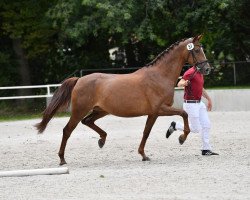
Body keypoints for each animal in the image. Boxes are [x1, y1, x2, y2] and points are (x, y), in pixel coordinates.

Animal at [35, 34, 211, 166]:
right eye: (196, 49)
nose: (207, 69)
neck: (159, 76)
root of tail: (79, 79)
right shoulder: (159, 110)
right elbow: (182, 114)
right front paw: (181, 138)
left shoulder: (154, 113)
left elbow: (147, 132)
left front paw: (144, 154)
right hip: (79, 111)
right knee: (67, 130)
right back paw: (62, 159)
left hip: (101, 111)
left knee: (88, 121)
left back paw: (102, 140)